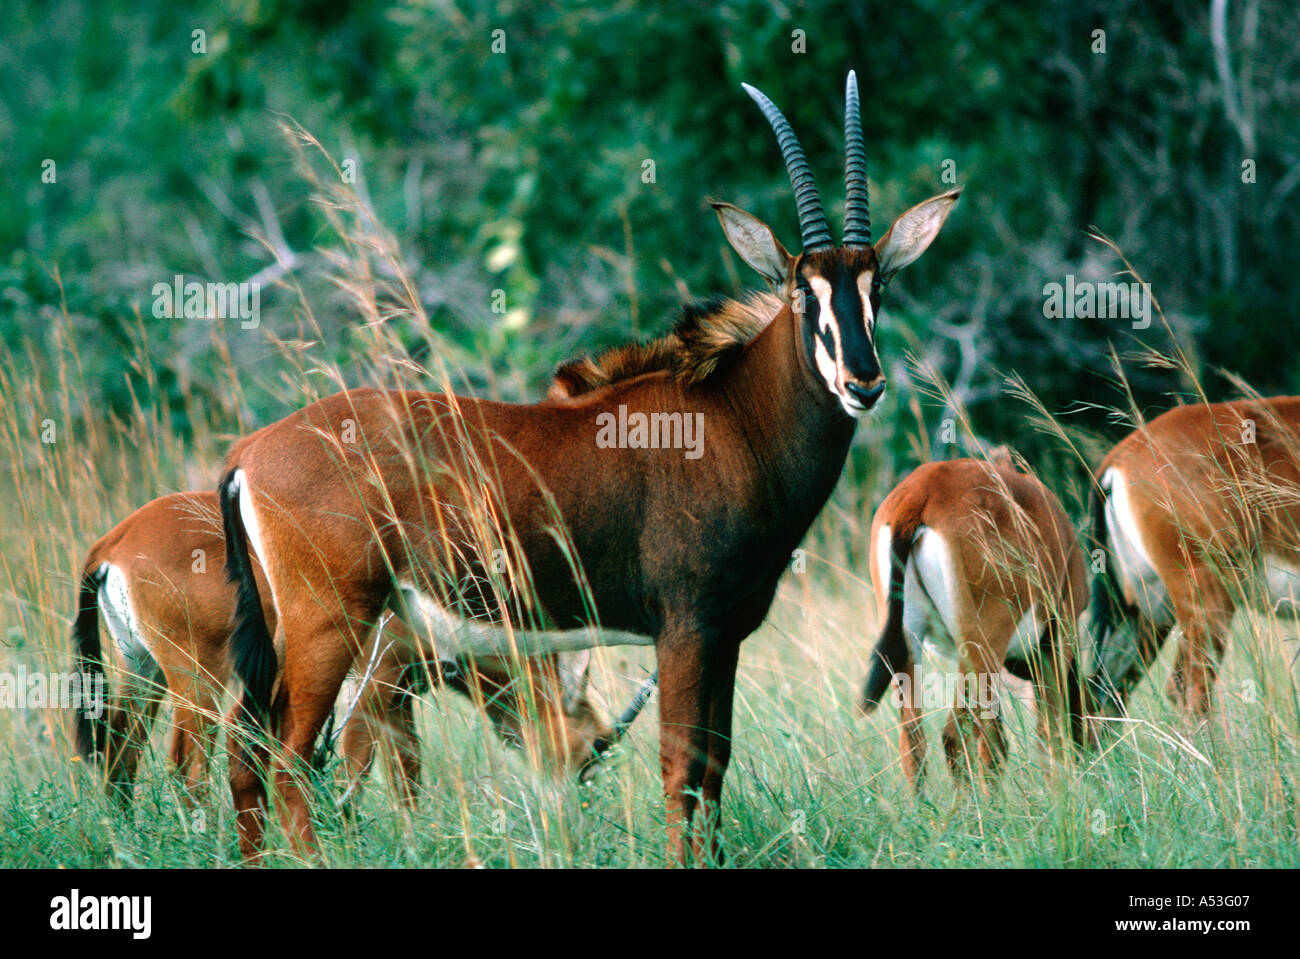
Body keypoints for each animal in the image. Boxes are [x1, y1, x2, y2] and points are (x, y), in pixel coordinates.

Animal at [65, 488, 603, 805]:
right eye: (593, 746)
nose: (577, 809)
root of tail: (115, 542)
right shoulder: (376, 681)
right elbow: (364, 768)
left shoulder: (399, 696)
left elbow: (407, 771)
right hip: (198, 678)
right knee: (187, 765)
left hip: (144, 669)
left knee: (120, 752)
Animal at [220, 70, 956, 862]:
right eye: (802, 290)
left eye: (878, 286)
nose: (863, 383)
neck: (734, 417)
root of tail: (247, 454)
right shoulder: (685, 626)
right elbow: (682, 765)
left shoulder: (726, 632)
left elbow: (716, 762)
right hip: (331, 625)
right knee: (289, 758)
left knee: (246, 749)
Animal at [857, 452, 1092, 790]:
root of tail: (920, 493)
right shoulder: (1059, 636)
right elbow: (1049, 728)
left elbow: (997, 739)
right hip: (981, 646)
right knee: (955, 735)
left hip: (912, 644)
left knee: (914, 742)